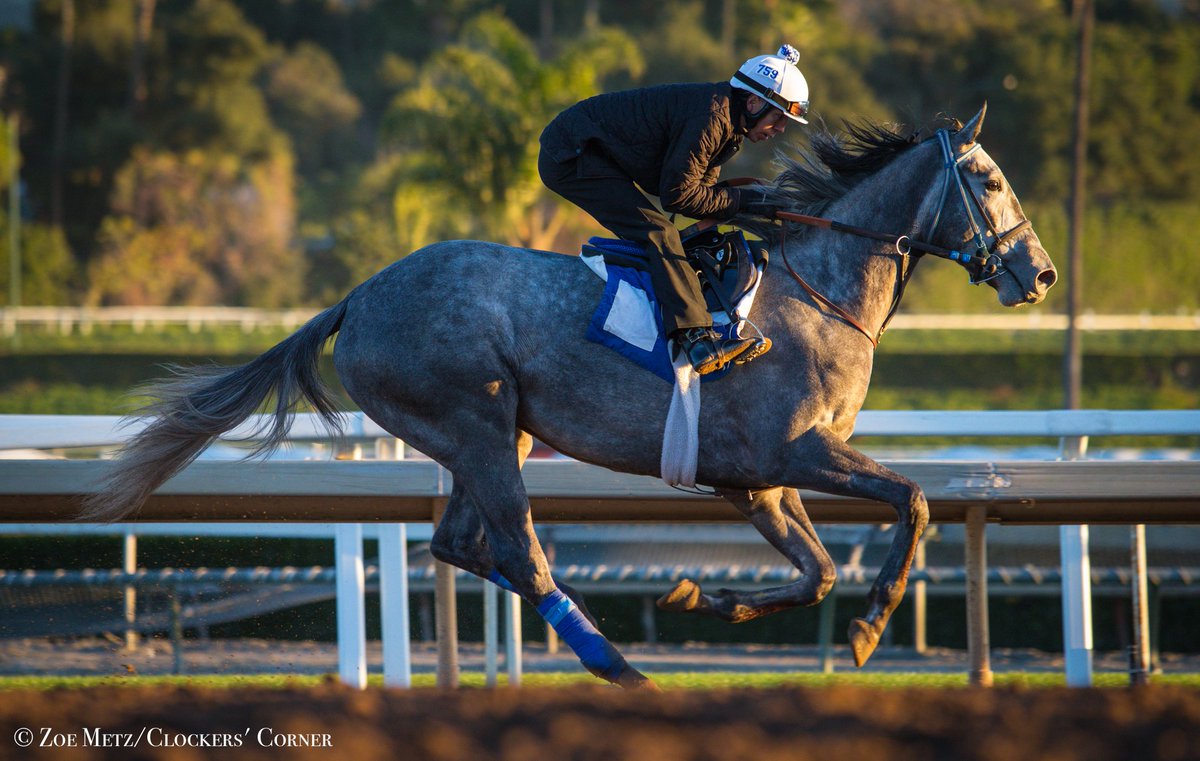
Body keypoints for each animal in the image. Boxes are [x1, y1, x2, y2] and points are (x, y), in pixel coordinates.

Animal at [82, 105, 1056, 690]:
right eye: (990, 179)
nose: (1039, 274)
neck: (819, 292)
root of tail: (356, 297)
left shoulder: (755, 482)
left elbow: (815, 569)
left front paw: (705, 598)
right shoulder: (796, 452)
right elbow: (914, 499)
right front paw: (866, 628)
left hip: (493, 435)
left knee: (463, 542)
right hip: (474, 422)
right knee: (521, 550)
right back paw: (618, 665)